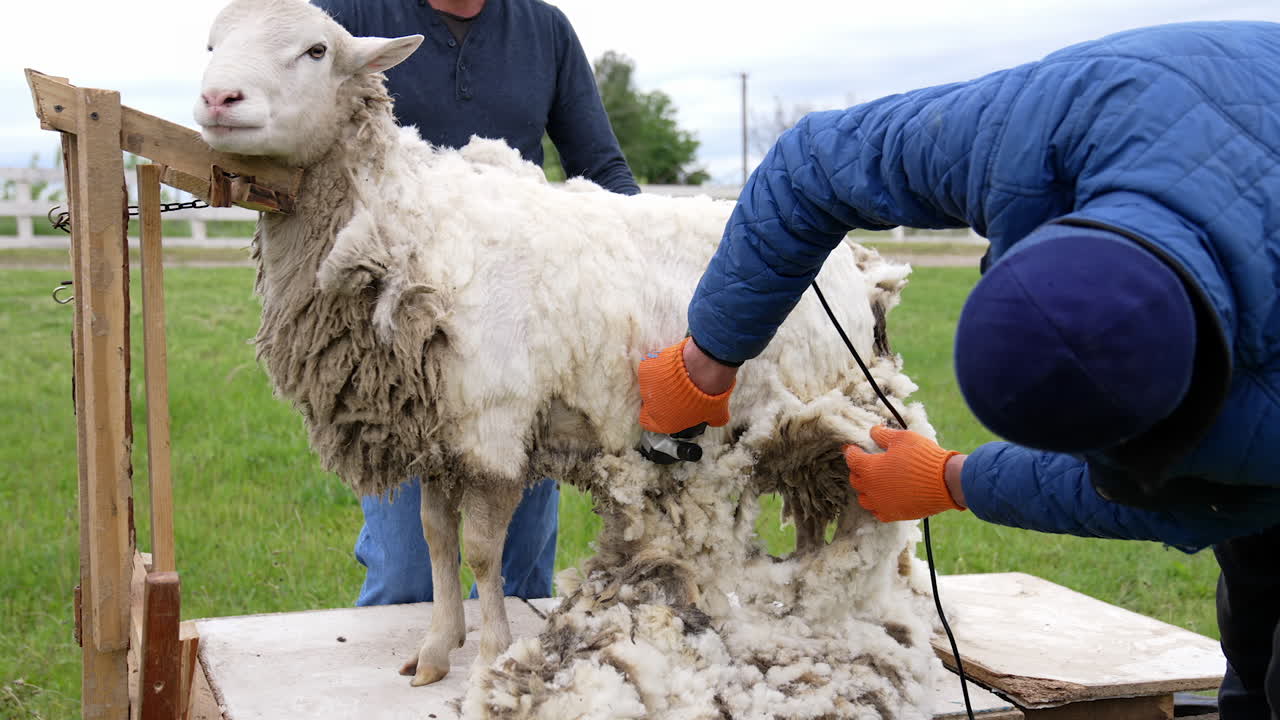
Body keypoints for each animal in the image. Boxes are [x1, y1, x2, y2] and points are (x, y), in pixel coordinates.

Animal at [195, 0, 943, 715]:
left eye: (316, 50)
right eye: (208, 44)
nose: (217, 98)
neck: (410, 225)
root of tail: (858, 266)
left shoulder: (493, 426)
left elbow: (480, 551)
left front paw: (492, 655)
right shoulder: (443, 431)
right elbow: (436, 537)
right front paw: (437, 649)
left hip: (818, 400)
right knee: (816, 512)